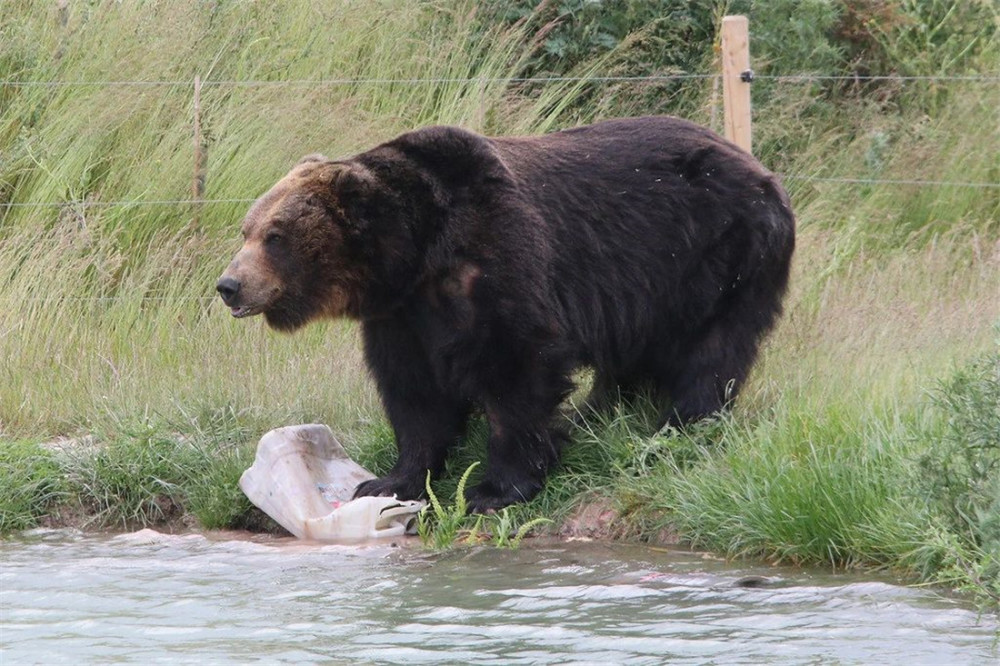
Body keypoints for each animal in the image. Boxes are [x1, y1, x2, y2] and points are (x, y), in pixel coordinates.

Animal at [219, 115, 796, 508]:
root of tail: (763, 170)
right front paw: (389, 480)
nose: (229, 285)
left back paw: (677, 427)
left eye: (275, 236)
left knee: (711, 351)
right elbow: (414, 393)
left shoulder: (498, 258)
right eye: (247, 229)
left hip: (720, 256)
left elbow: (515, 369)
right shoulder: (403, 315)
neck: (420, 250)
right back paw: (596, 416)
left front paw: (494, 489)